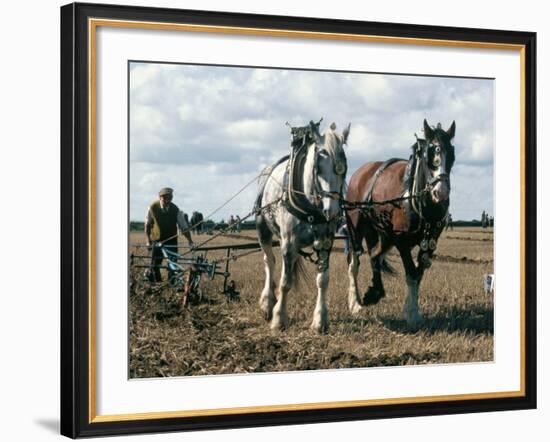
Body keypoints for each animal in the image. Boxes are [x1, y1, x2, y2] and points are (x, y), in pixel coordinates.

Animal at [348, 119, 460, 326]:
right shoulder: (401, 241)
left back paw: (374, 292)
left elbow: (418, 273)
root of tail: (362, 171)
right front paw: (412, 313)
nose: (440, 192)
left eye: (452, 154)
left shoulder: (430, 242)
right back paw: (355, 303)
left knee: (375, 256)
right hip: (356, 227)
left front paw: (410, 309)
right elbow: (411, 273)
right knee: (354, 263)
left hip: (384, 235)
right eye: (428, 154)